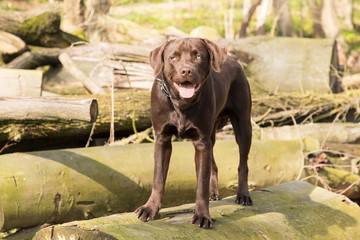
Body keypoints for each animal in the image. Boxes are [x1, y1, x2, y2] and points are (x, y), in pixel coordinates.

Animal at [134, 37, 252, 229]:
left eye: (198, 56)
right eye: (173, 57)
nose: (186, 71)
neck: (181, 104)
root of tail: (234, 61)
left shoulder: (201, 142)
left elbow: (201, 183)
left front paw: (202, 215)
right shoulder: (162, 139)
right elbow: (158, 178)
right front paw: (150, 208)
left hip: (243, 125)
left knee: (243, 164)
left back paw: (243, 195)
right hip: (211, 135)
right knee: (214, 165)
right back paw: (214, 192)